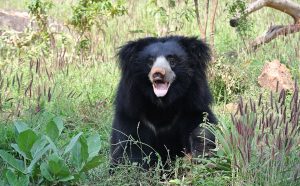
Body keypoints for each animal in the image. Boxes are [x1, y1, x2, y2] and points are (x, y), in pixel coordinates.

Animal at [110, 35, 216, 169]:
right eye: (150, 62)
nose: (158, 74)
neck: (162, 104)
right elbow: (131, 144)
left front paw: (201, 149)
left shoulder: (192, 106)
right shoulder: (132, 112)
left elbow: (202, 125)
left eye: (172, 60)